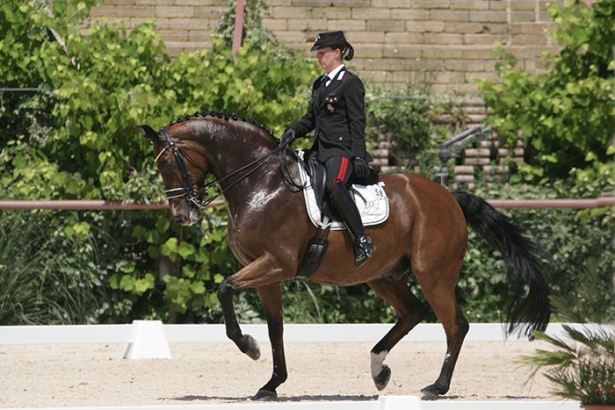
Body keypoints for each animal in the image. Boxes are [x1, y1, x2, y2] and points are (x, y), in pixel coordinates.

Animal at [137, 111, 552, 400]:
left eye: (168, 163)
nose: (182, 215)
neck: (262, 183)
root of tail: (449, 197)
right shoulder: (268, 272)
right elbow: (275, 327)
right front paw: (272, 384)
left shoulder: (276, 264)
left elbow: (225, 290)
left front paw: (248, 347)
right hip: (383, 275)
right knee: (413, 313)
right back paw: (379, 370)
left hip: (434, 275)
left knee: (455, 326)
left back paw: (436, 387)